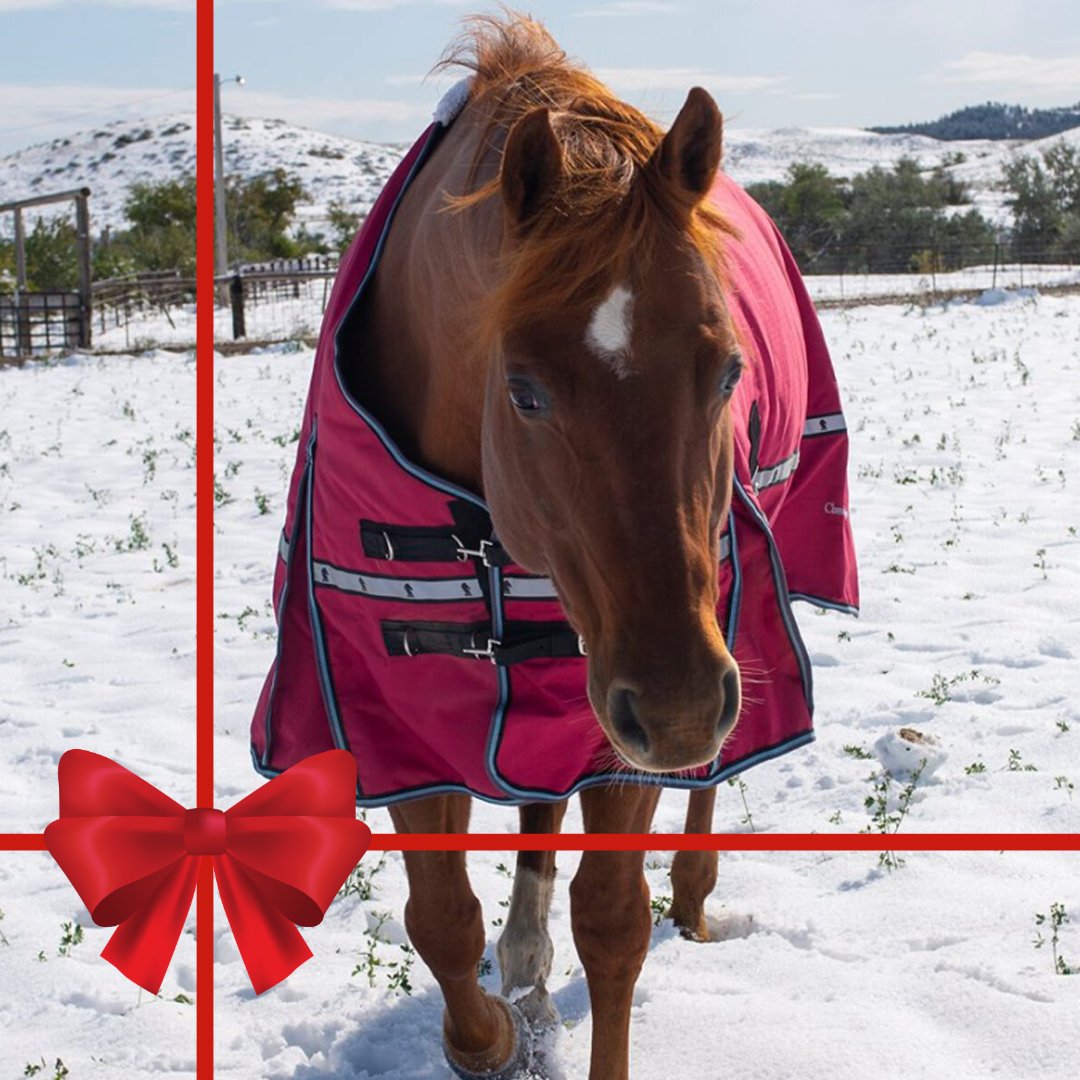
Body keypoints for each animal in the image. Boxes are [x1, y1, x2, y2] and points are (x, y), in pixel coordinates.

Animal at [253, 12, 857, 1078]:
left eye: (728, 369)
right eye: (526, 391)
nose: (682, 707)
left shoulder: (635, 713)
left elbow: (611, 924)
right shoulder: (399, 707)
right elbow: (442, 920)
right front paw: (494, 1034)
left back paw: (689, 896)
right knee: (539, 807)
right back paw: (526, 956)